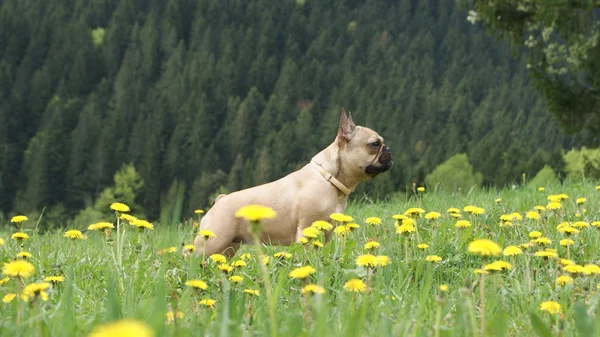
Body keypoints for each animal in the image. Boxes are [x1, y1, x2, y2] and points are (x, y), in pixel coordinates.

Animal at [193, 108, 394, 255]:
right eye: (375, 144)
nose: (389, 149)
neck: (330, 179)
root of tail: (220, 200)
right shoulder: (307, 228)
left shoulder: (328, 230)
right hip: (213, 240)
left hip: (229, 246)